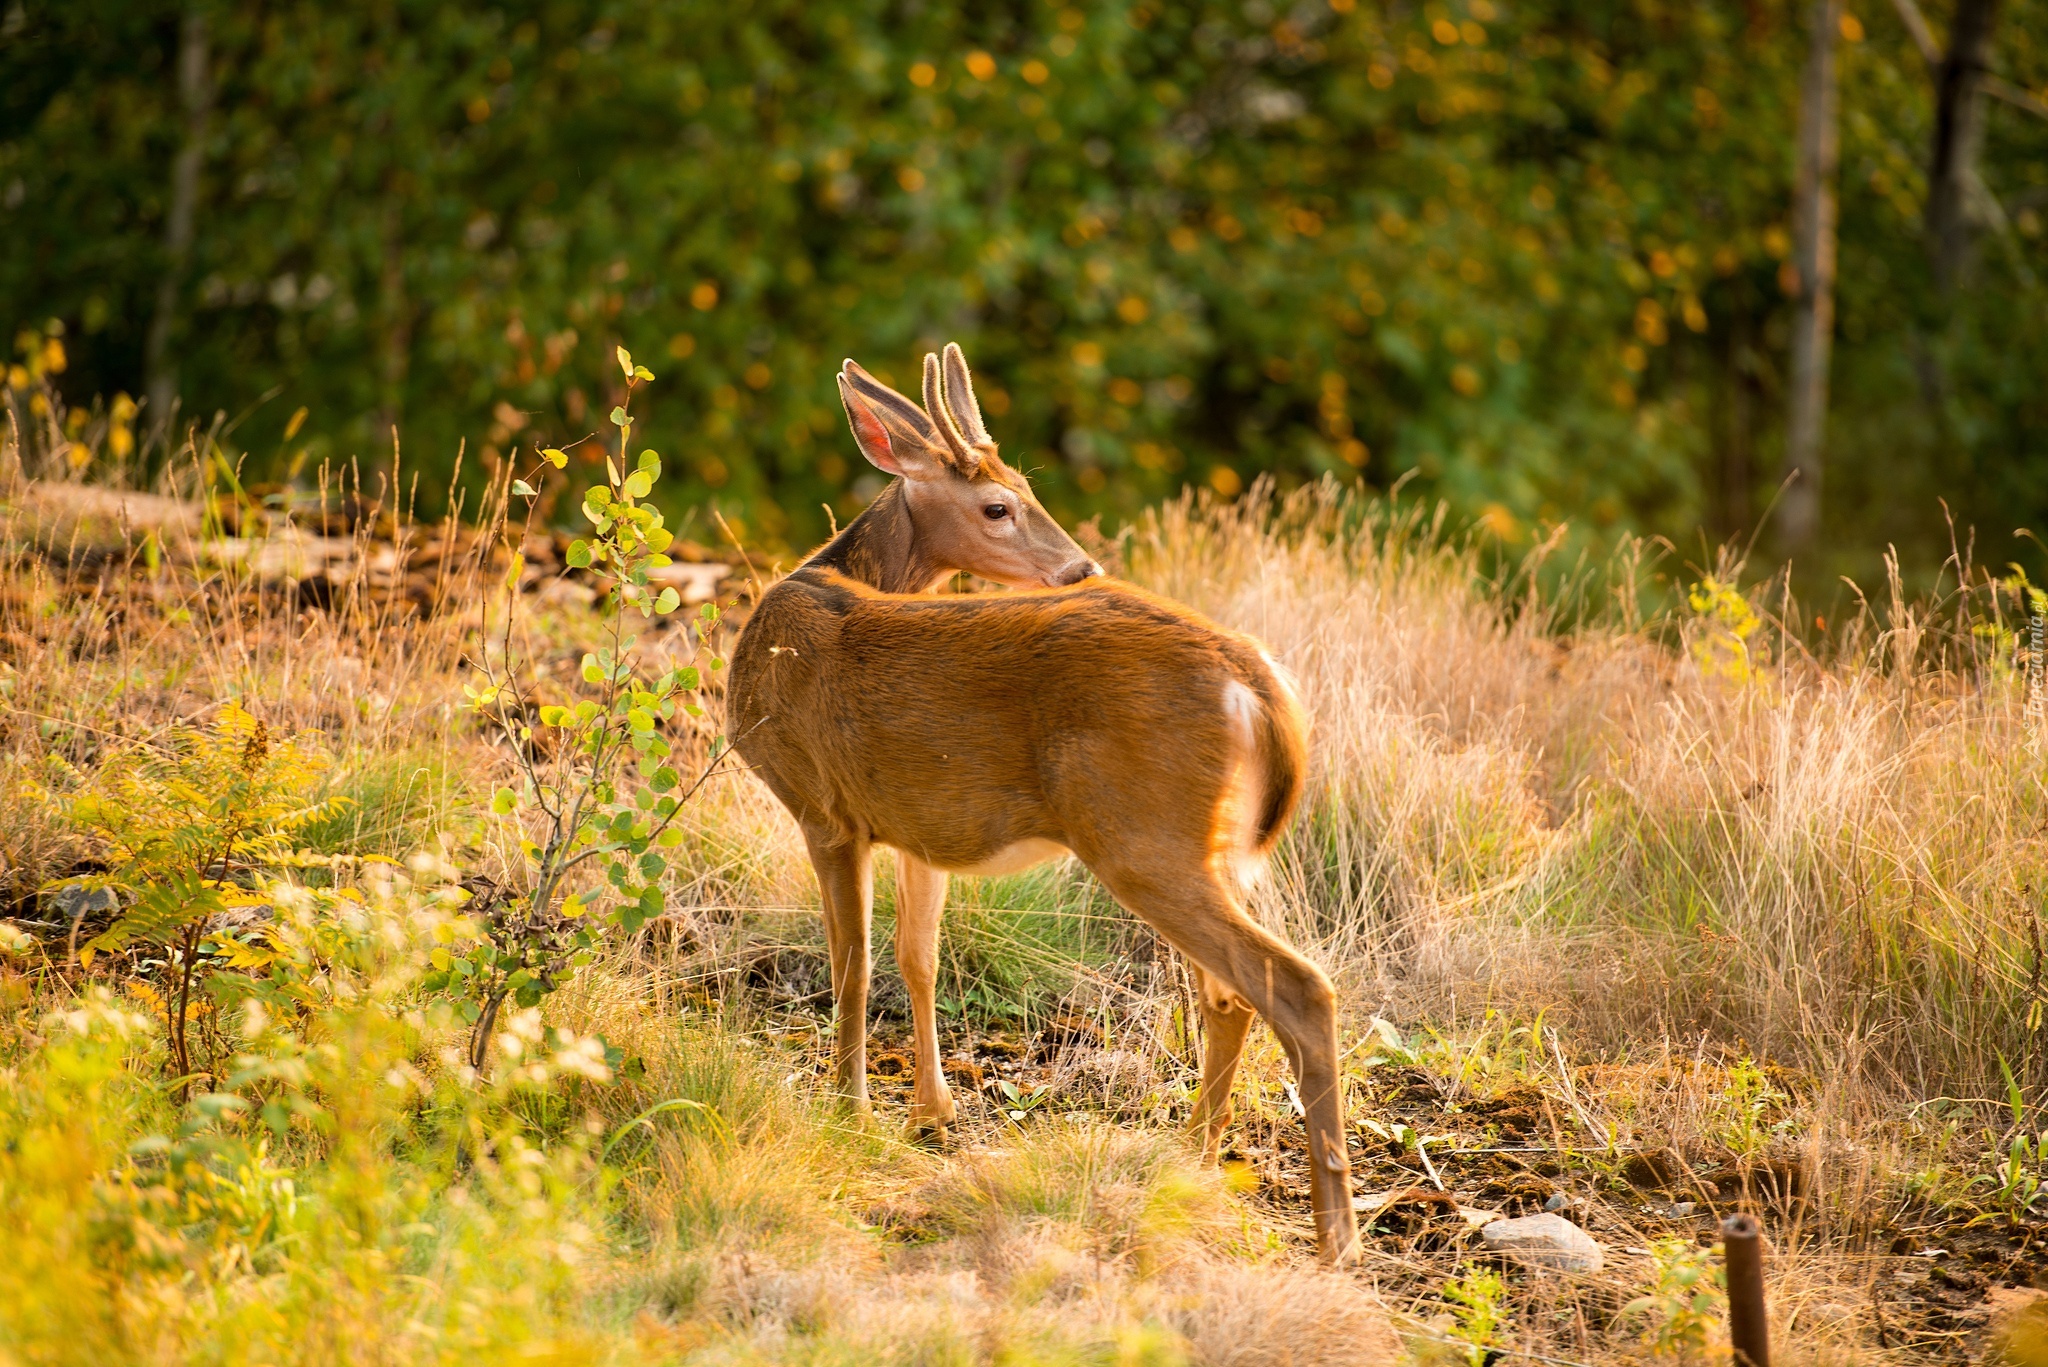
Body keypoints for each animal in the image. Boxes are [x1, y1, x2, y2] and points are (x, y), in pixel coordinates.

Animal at [720, 348, 1359, 1270]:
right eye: (1000, 500)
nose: (1081, 567)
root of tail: (1257, 681)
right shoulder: (916, 826)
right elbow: (917, 957)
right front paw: (932, 1111)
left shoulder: (824, 807)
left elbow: (852, 962)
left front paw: (848, 1108)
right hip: (1211, 846)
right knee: (1231, 994)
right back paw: (1192, 1158)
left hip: (1141, 835)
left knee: (1295, 986)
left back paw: (1334, 1234)